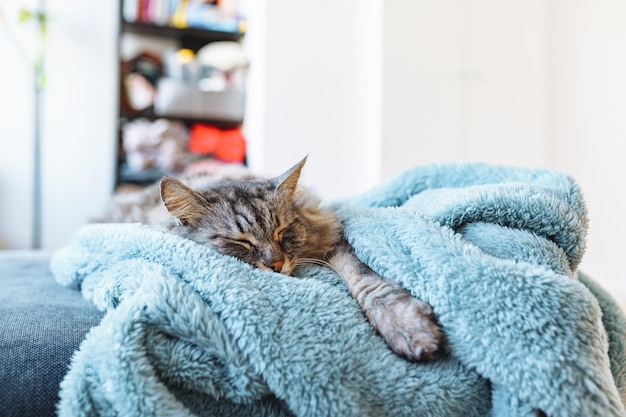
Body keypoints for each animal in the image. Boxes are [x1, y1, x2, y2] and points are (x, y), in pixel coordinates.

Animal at [106, 158, 438, 360]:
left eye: (282, 231)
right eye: (240, 242)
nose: (276, 265)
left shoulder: (333, 244)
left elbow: (369, 282)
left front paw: (408, 327)